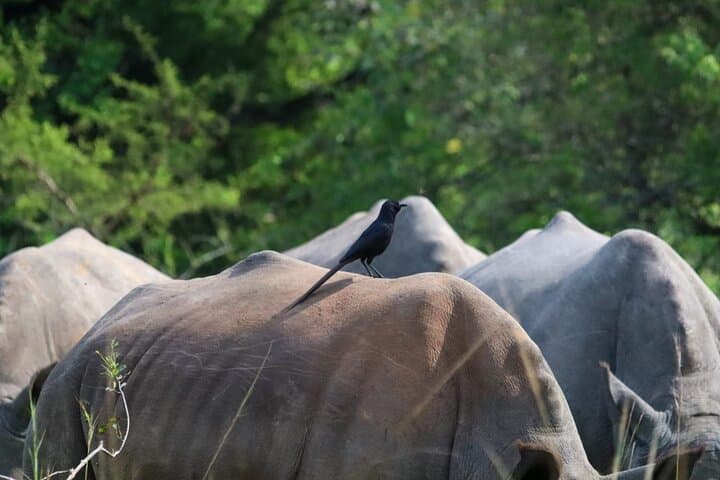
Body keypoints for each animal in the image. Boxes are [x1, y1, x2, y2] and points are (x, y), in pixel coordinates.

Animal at [285, 195, 485, 277]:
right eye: (395, 204)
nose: (403, 204)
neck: (387, 220)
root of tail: (344, 258)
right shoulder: (373, 250)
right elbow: (370, 264)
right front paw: (378, 275)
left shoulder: (369, 255)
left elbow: (367, 264)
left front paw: (375, 275)